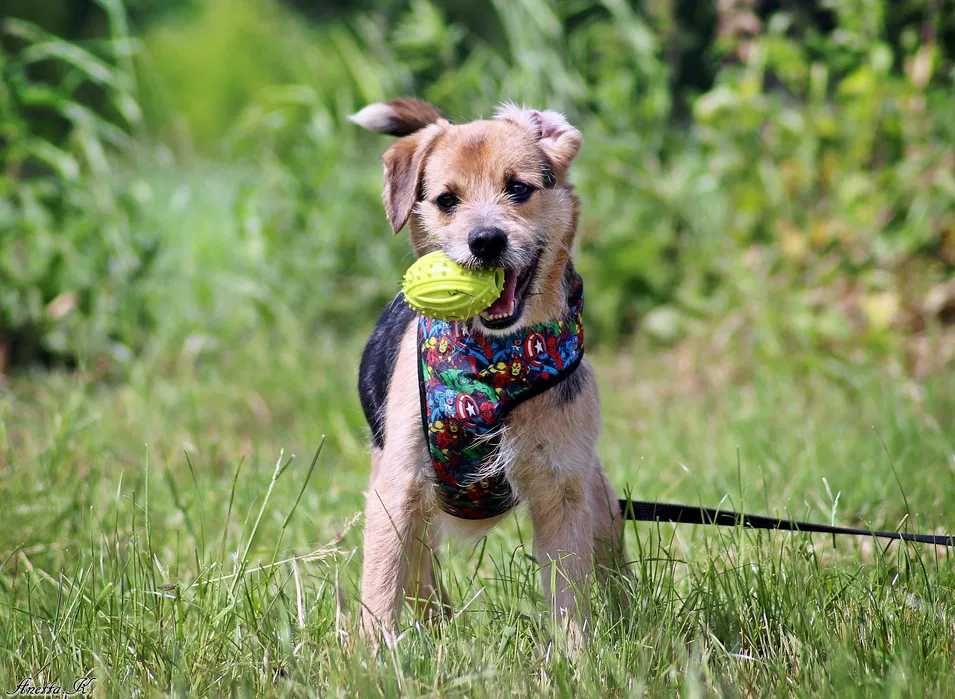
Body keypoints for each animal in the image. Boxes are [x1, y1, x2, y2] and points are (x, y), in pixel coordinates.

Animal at [348, 98, 624, 644]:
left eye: (518, 188)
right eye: (446, 200)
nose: (486, 240)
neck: (491, 365)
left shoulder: (562, 488)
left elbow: (568, 595)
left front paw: (576, 657)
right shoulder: (397, 488)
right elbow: (381, 588)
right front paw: (371, 656)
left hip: (598, 498)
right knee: (419, 578)